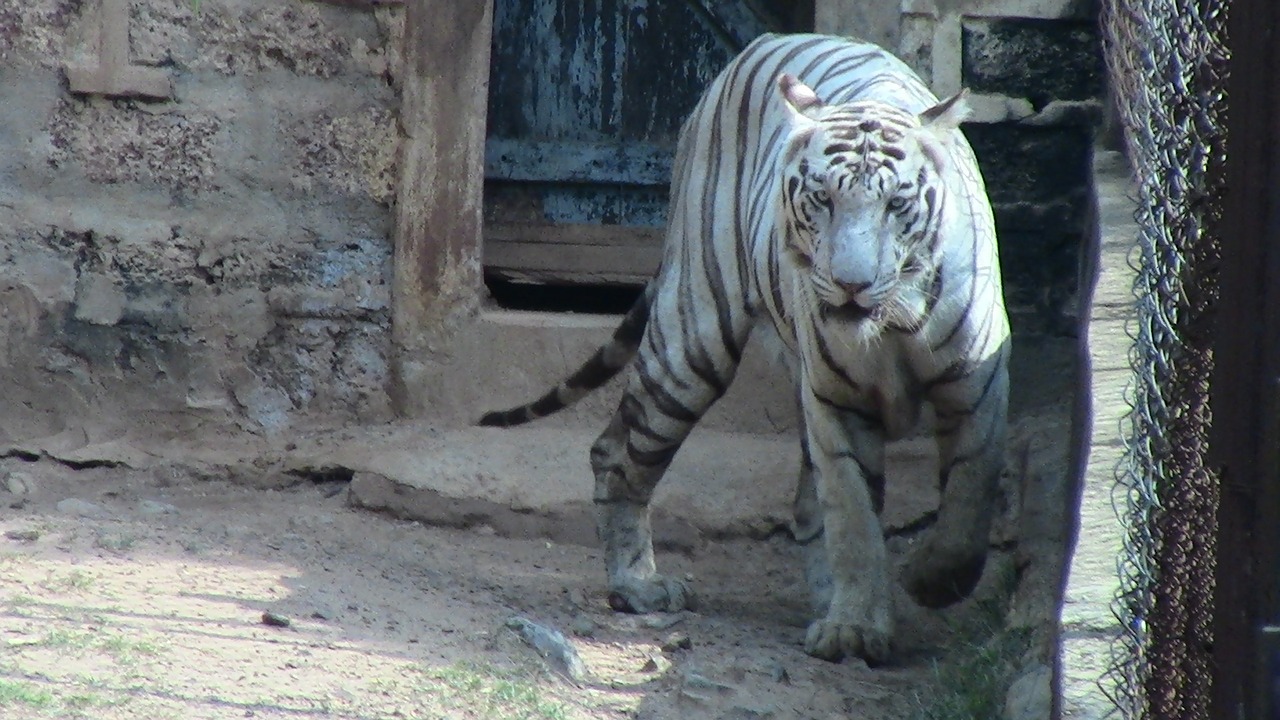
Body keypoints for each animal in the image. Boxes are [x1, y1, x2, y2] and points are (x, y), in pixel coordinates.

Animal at [481, 32, 1008, 661]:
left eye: (895, 205)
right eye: (823, 199)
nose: (851, 284)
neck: (893, 324)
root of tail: (766, 40)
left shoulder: (977, 390)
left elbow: (968, 503)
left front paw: (929, 581)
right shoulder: (836, 403)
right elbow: (853, 515)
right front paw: (856, 627)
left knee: (799, 506)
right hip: (691, 343)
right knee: (618, 456)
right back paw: (637, 585)